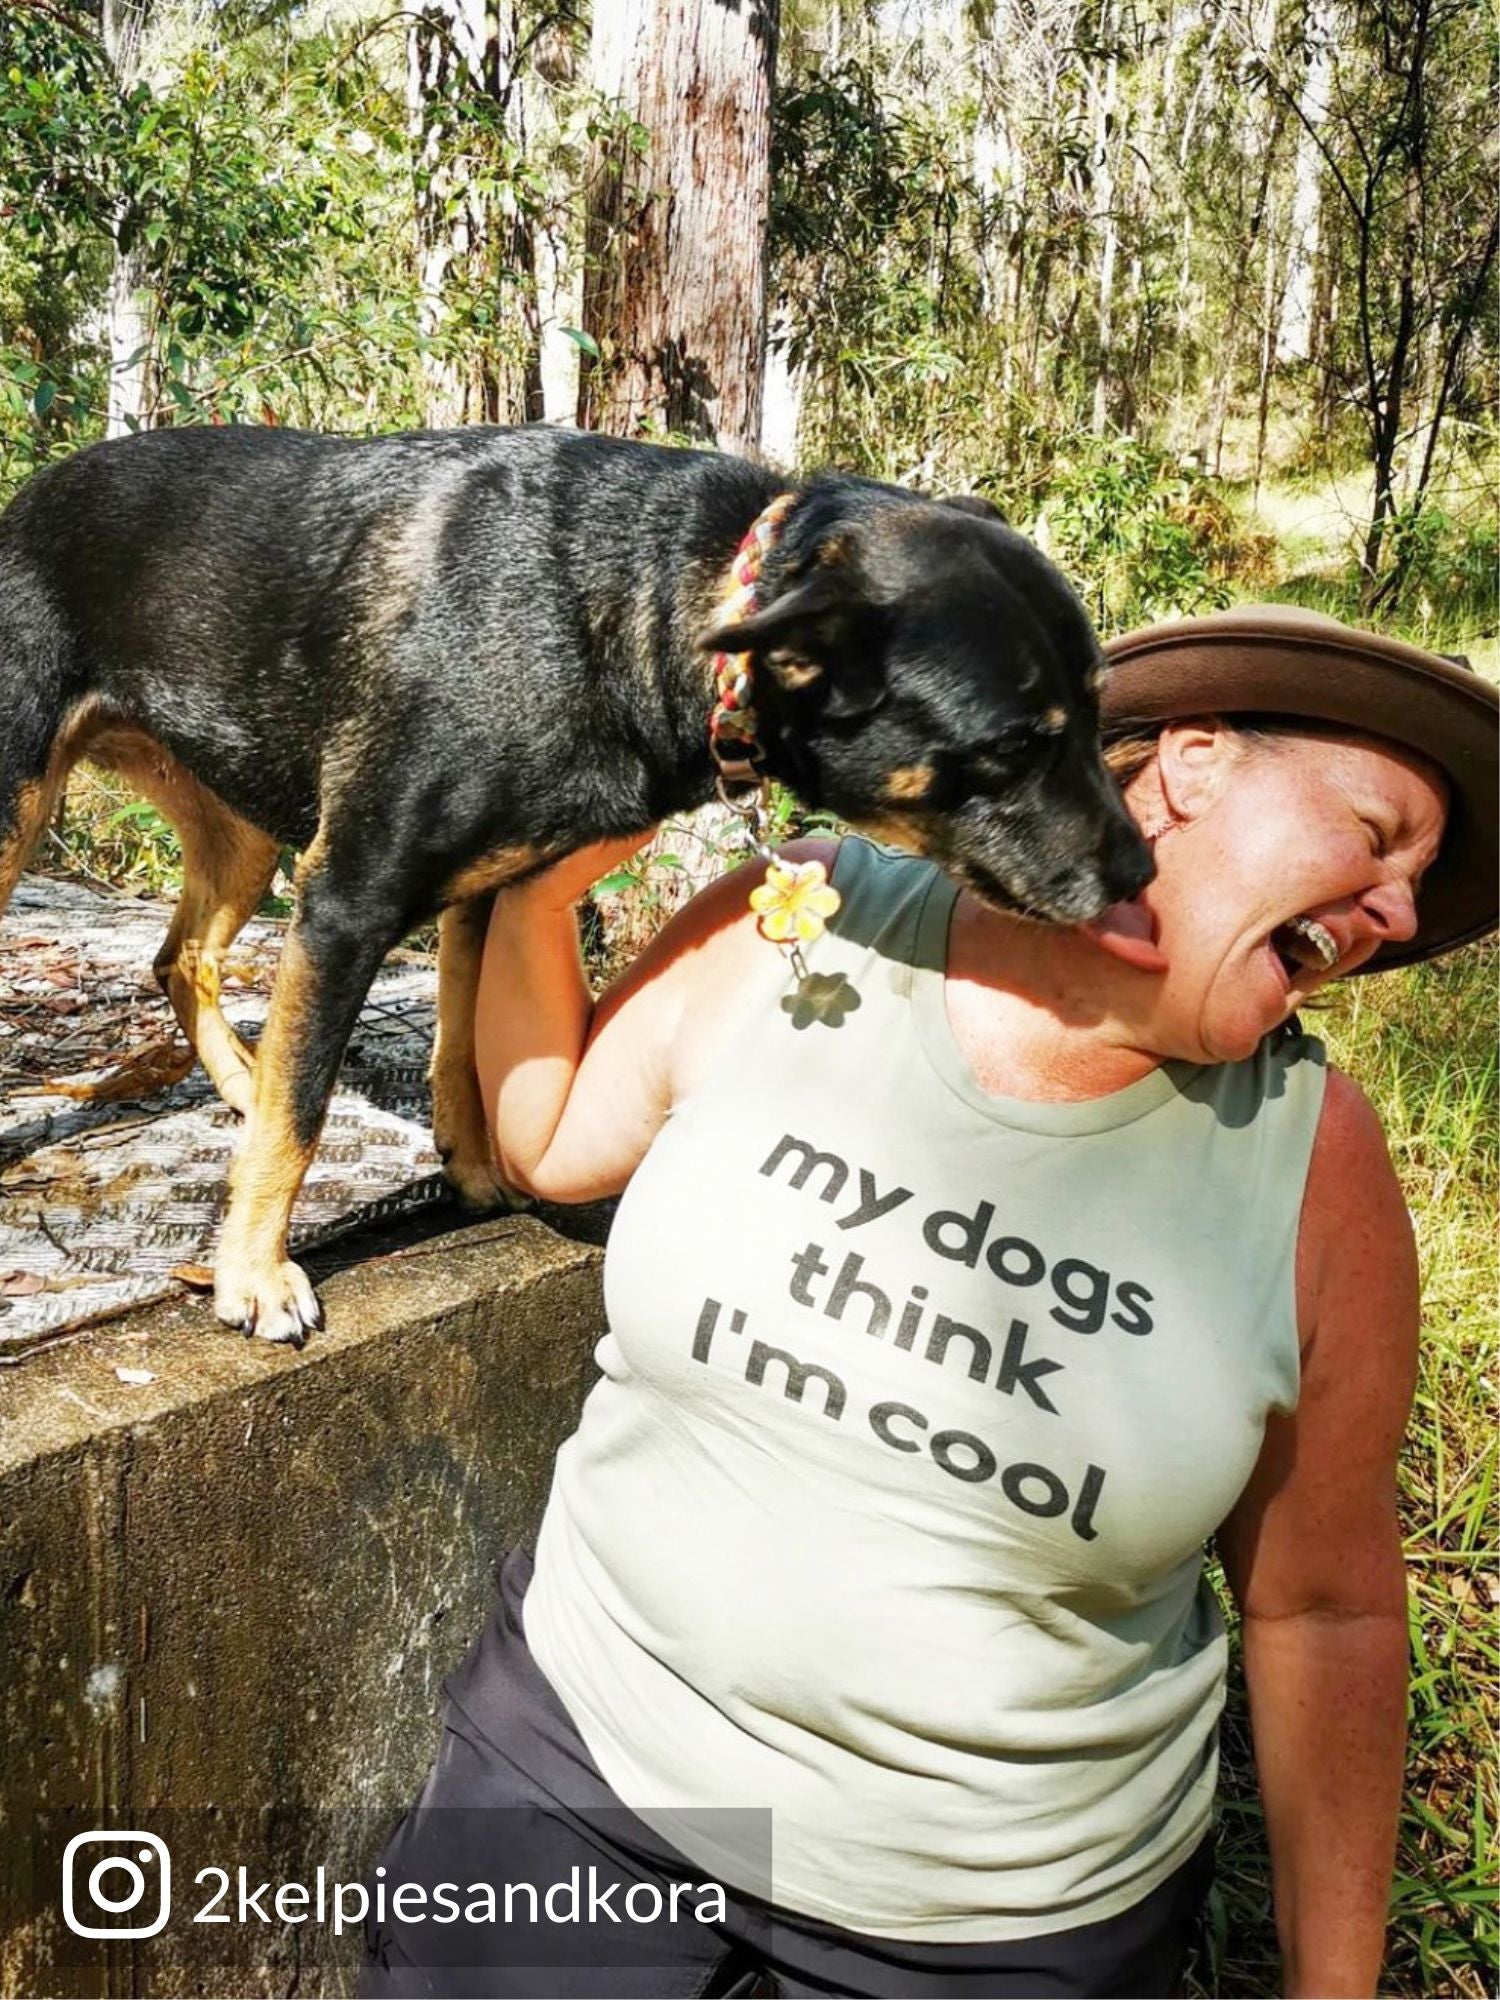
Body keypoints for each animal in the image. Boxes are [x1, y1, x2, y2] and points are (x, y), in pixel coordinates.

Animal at [0, 422, 1152, 1344]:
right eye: (1012, 745)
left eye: (1098, 708)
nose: (1140, 871)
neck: (641, 596)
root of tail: (29, 495)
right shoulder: (349, 895)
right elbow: (307, 1110)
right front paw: (253, 1274)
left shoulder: (477, 893)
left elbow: (462, 1053)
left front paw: (470, 1174)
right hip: (21, 809)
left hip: (238, 832)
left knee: (179, 956)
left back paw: (240, 1078)